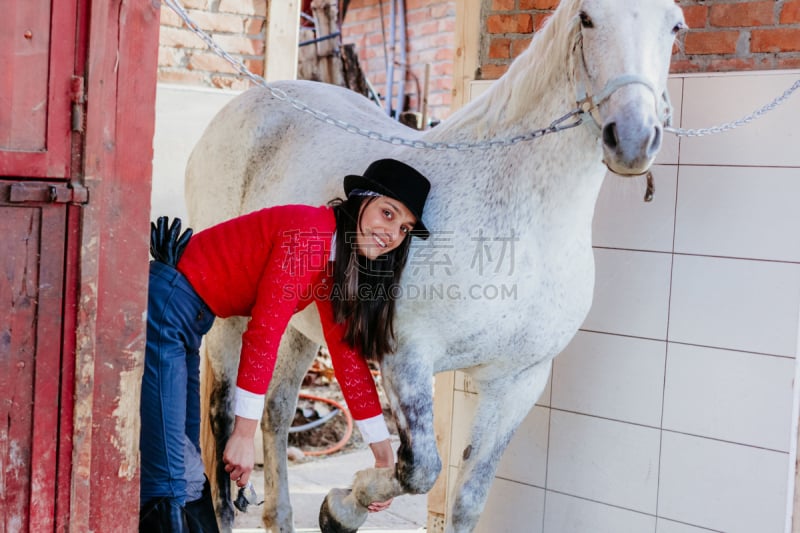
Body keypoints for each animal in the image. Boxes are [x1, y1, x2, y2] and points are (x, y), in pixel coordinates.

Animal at [186, 2, 680, 528]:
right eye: (587, 18)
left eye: (675, 25)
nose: (633, 138)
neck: (518, 225)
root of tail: (245, 104)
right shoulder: (407, 357)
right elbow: (420, 468)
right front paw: (341, 508)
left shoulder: (519, 381)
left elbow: (468, 498)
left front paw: (341, 508)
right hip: (231, 313)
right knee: (223, 415)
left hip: (298, 324)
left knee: (276, 412)